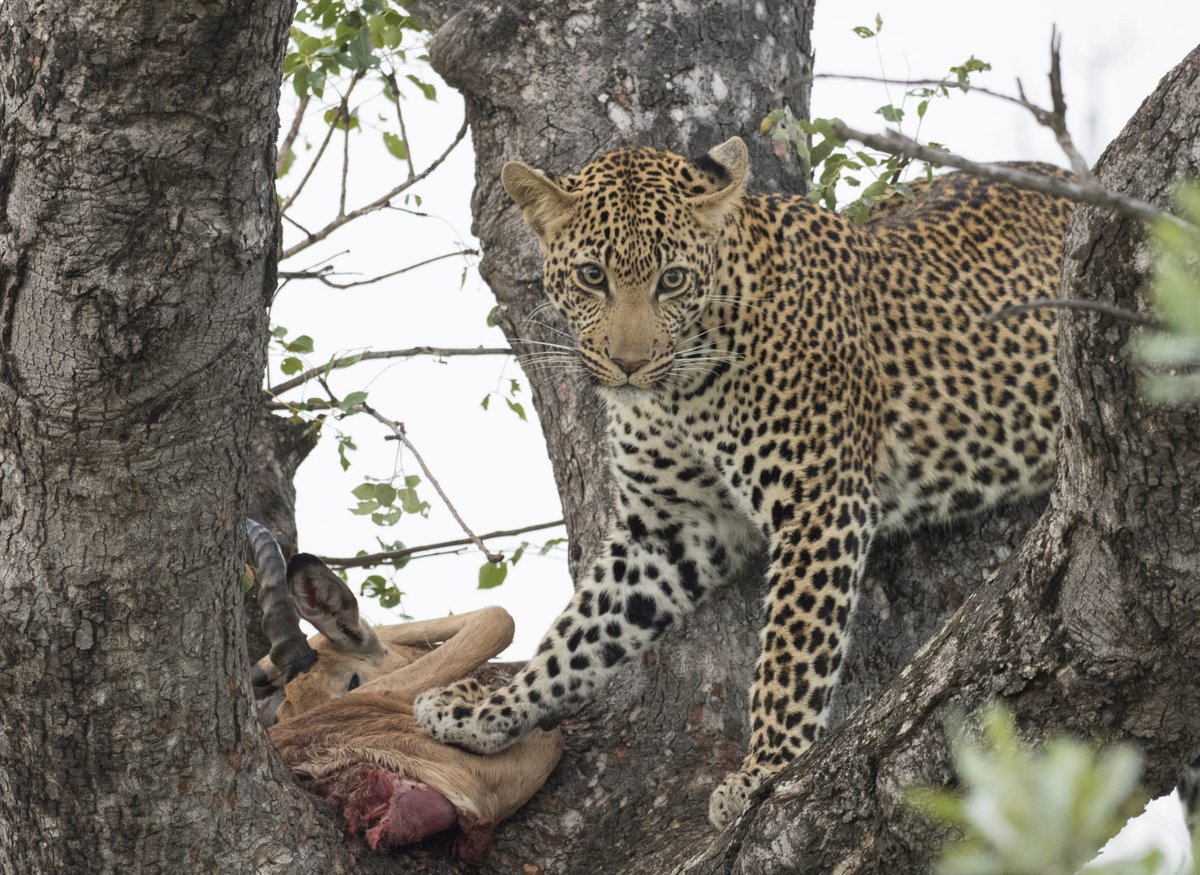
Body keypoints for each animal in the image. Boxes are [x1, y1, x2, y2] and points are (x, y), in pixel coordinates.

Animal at [414, 136, 1070, 828]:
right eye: (593, 276)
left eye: (672, 280)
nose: (629, 364)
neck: (679, 392)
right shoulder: (671, 528)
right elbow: (579, 636)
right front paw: (489, 712)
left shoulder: (820, 500)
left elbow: (790, 649)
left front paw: (766, 768)